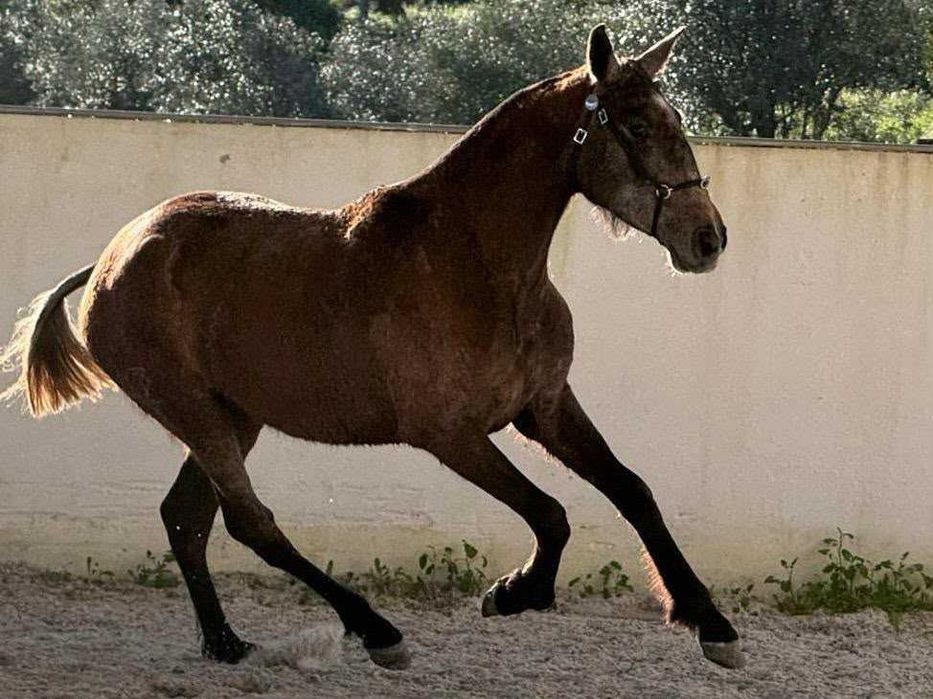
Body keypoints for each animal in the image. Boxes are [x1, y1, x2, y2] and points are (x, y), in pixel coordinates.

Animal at [1, 25, 743, 671]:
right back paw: (377, 631)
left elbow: (632, 490)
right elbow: (551, 514)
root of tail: (109, 260)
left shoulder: (545, 407)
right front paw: (515, 593)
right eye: (638, 126)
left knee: (187, 518)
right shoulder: (449, 433)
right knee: (249, 521)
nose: (708, 238)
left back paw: (226, 643)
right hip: (193, 410)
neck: (475, 265)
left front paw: (711, 623)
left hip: (234, 415)